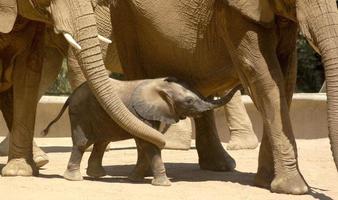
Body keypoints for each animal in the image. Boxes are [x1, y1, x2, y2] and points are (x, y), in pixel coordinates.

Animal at [43, 77, 240, 186]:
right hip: (80, 113)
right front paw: (164, 184)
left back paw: (97, 175)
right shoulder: (140, 113)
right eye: (189, 101)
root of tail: (71, 95)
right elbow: (147, 142)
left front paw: (134, 179)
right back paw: (74, 178)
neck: (162, 87)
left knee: (102, 142)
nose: (239, 83)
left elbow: (144, 142)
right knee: (83, 142)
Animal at [97, 0, 338, 195]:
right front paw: (292, 188)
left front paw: (264, 182)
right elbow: (265, 79)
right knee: (138, 73)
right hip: (126, 19)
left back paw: (219, 166)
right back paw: (144, 173)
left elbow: (286, 79)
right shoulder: (234, 12)